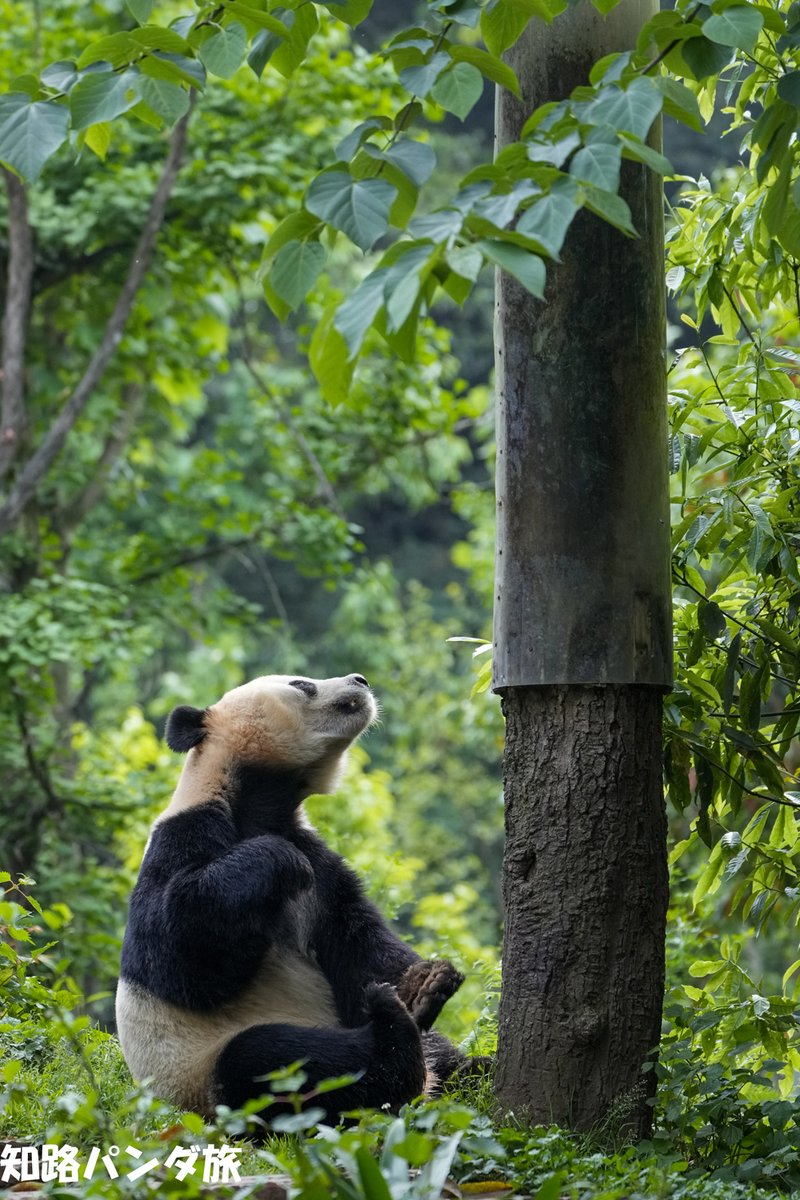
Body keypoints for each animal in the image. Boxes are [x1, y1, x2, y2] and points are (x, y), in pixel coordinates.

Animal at [117, 676, 470, 1123]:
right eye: (302, 685)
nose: (359, 681)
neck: (262, 802)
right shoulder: (180, 837)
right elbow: (179, 952)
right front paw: (279, 860)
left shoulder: (323, 869)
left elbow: (356, 942)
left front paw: (423, 982)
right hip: (201, 1073)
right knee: (274, 1060)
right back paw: (396, 1044)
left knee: (444, 1055)